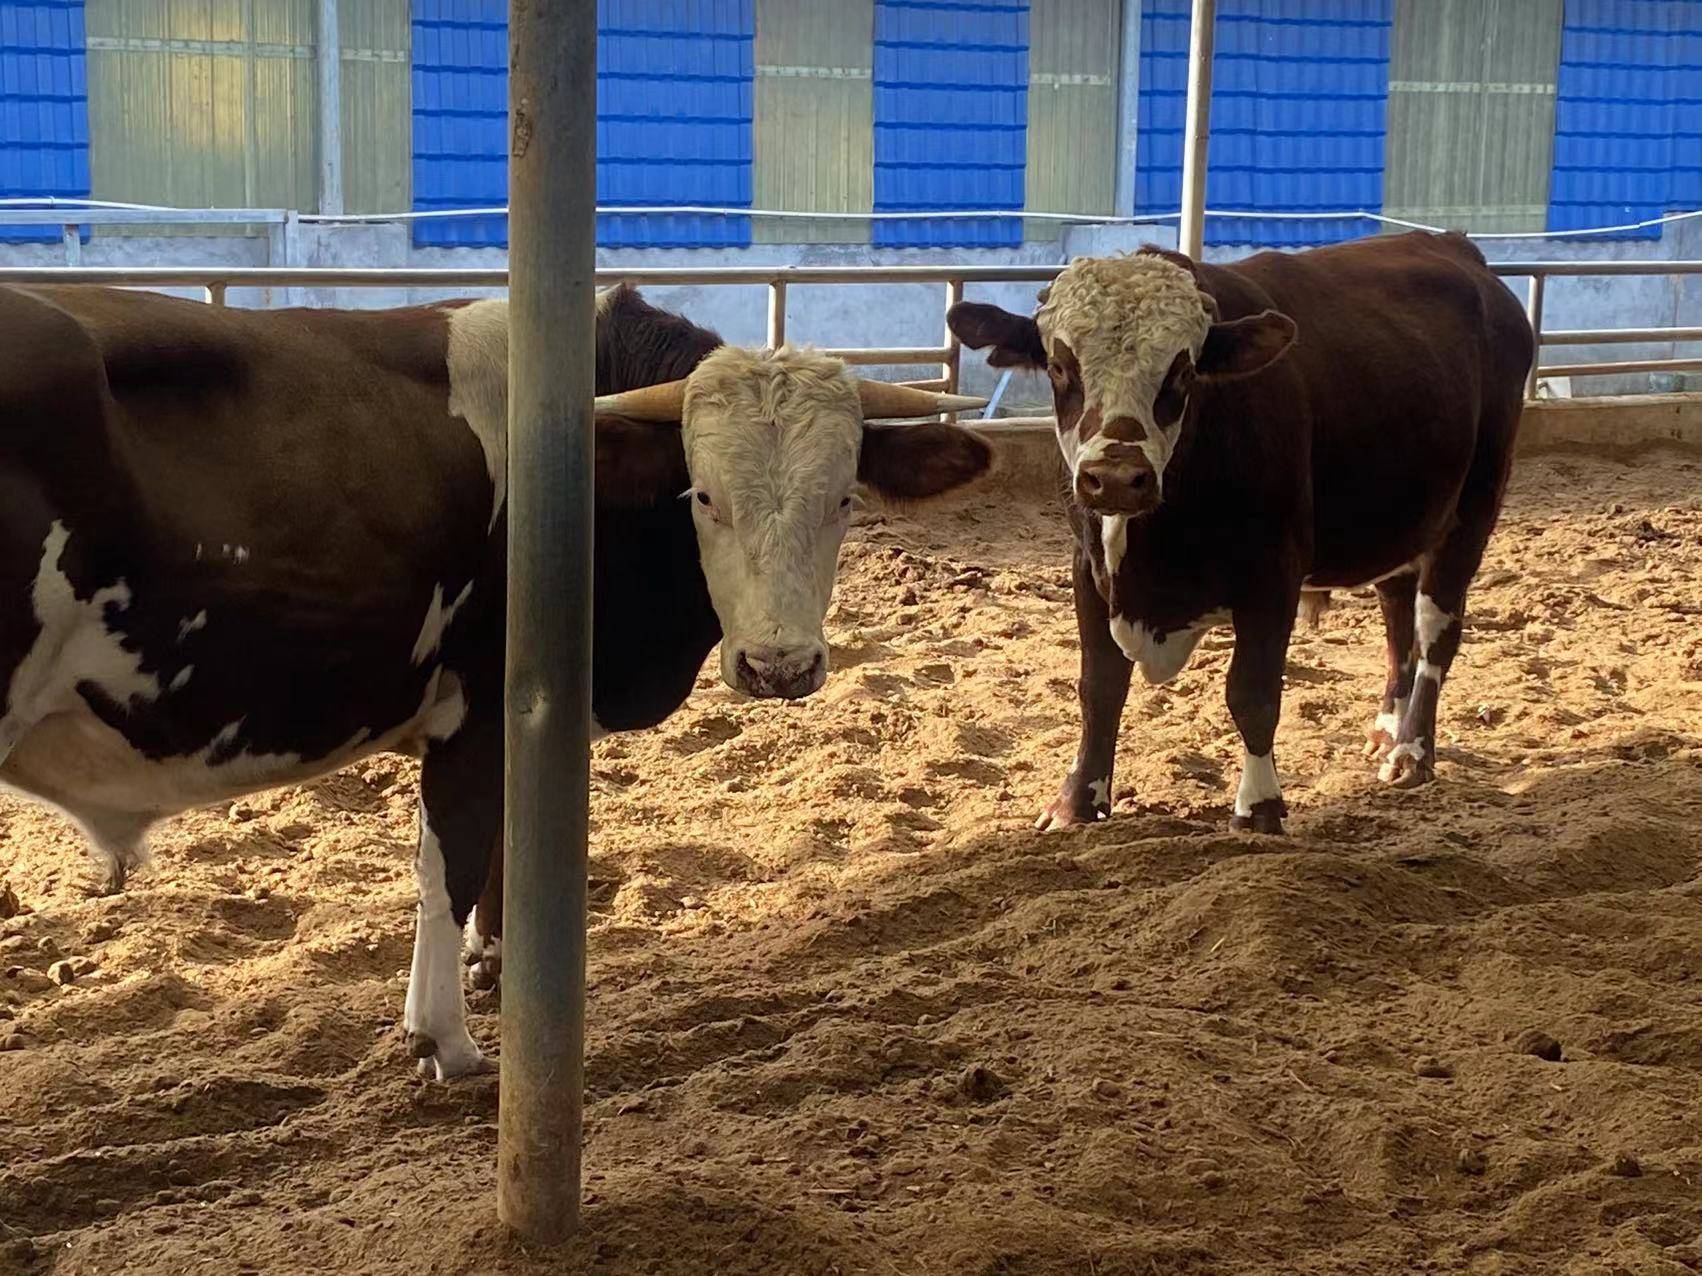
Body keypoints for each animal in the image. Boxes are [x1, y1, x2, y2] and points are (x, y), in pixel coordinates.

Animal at [953, 233, 1538, 840]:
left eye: (1183, 372)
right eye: (1059, 365)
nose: (1115, 477)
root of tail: (1451, 245)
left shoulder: (1273, 575)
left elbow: (1252, 694)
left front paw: (1259, 807)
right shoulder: (1089, 568)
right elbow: (1100, 688)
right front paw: (1078, 801)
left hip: (1474, 507)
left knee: (1435, 631)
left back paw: (1413, 751)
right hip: (1396, 520)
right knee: (1398, 618)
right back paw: (1386, 729)